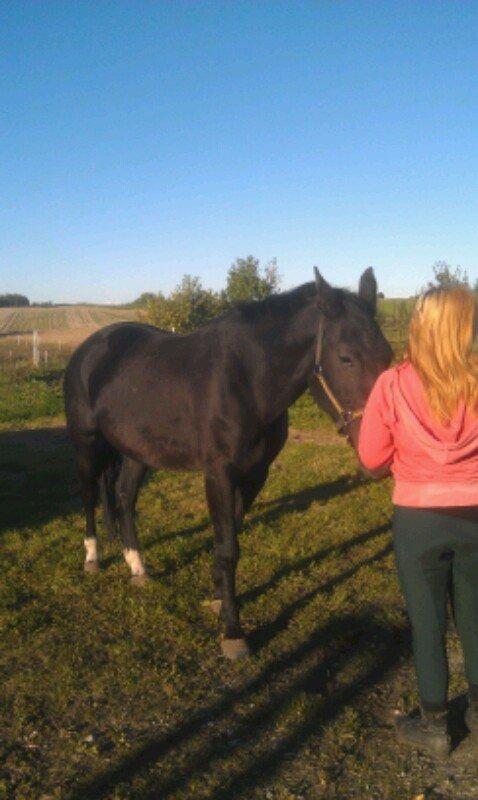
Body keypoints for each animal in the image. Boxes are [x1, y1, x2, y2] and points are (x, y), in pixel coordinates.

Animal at [64, 268, 392, 656]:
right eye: (345, 358)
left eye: (388, 355)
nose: (379, 460)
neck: (246, 379)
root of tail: (89, 347)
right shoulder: (219, 474)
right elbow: (228, 548)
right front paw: (233, 631)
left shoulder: (255, 474)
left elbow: (230, 537)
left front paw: (221, 600)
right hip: (87, 445)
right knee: (89, 495)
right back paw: (92, 558)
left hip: (137, 451)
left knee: (124, 497)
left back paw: (137, 567)